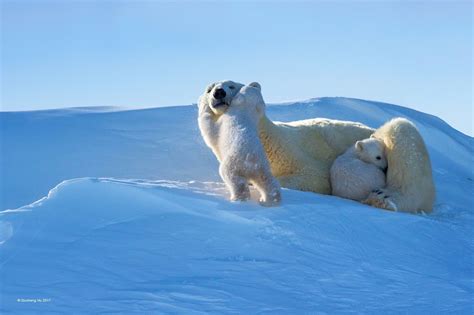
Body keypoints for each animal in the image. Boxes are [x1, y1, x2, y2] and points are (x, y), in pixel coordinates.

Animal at [198, 80, 436, 214]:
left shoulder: (294, 154)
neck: (268, 139)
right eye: (209, 88)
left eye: (231, 85)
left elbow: (314, 178)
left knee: (402, 135)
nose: (218, 93)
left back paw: (384, 199)